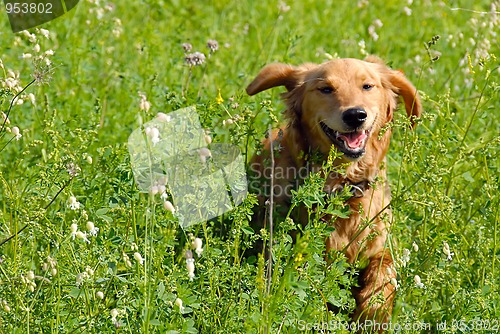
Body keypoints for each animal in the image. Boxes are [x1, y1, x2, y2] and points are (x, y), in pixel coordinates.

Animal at [246, 56, 422, 326]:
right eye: (326, 89)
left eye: (367, 86)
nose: (356, 115)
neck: (342, 184)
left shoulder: (379, 242)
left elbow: (385, 268)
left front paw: (373, 310)